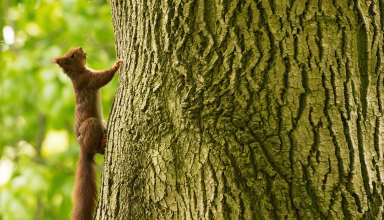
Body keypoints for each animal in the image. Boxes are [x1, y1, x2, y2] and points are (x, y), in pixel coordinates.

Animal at [53, 47, 122, 220]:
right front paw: (116, 65)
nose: (81, 48)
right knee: (96, 148)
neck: (77, 73)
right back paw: (103, 144)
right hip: (92, 125)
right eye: (72, 55)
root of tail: (83, 148)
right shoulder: (88, 79)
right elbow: (103, 78)